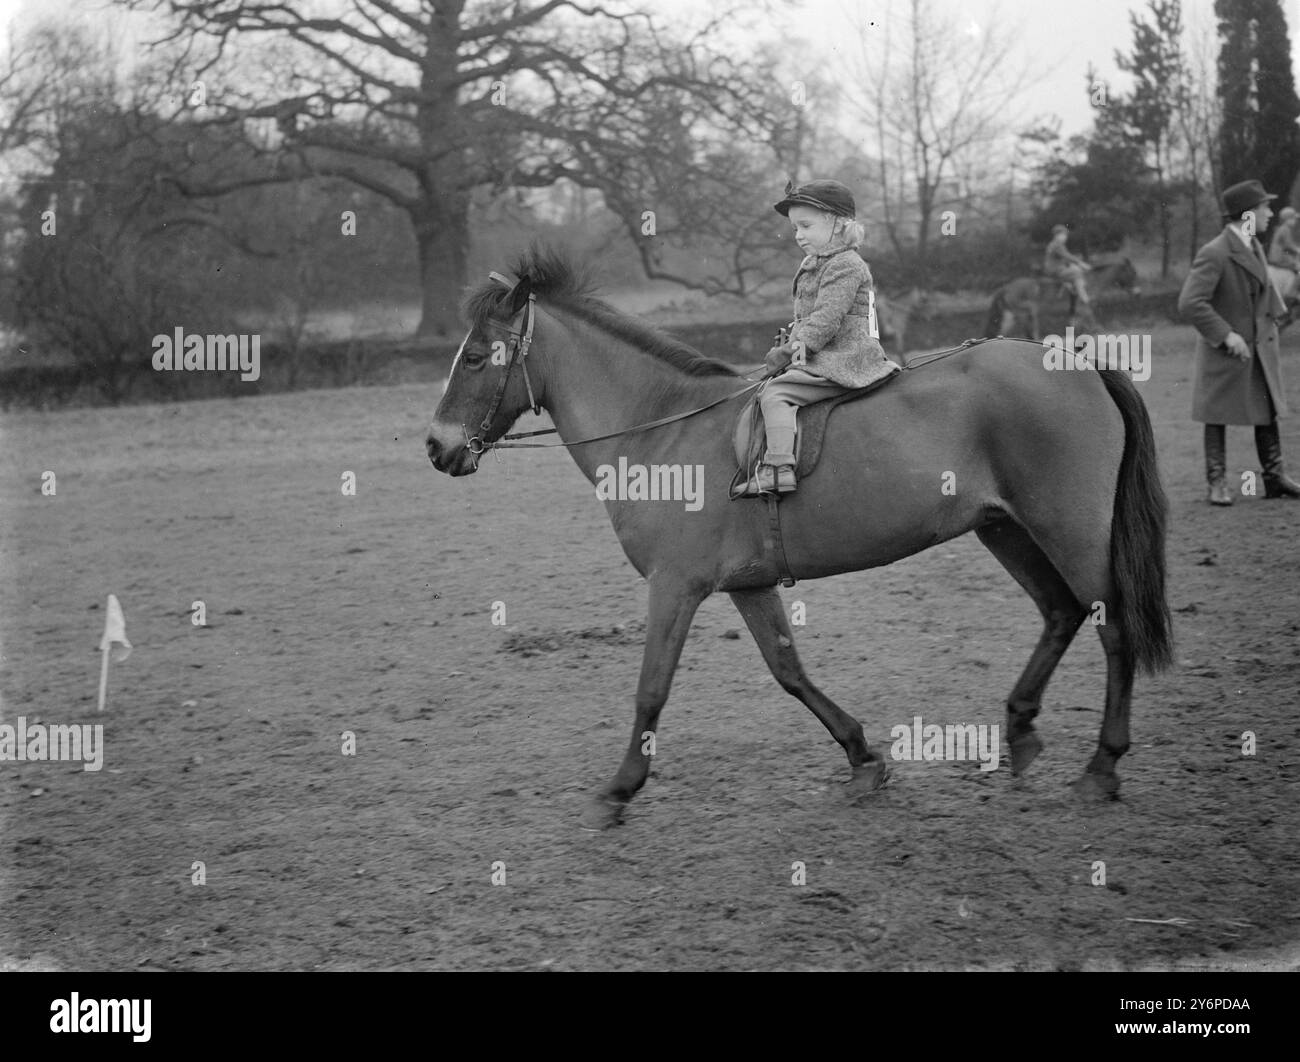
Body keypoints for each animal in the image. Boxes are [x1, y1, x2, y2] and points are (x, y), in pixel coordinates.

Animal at [982, 257, 1141, 341]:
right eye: (1132, 273)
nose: (1138, 293)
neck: (1090, 281)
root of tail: (1006, 287)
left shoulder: (1075, 312)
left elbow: (1075, 325)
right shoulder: (1083, 308)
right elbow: (1091, 318)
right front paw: (1098, 330)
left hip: (1012, 316)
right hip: (1026, 313)